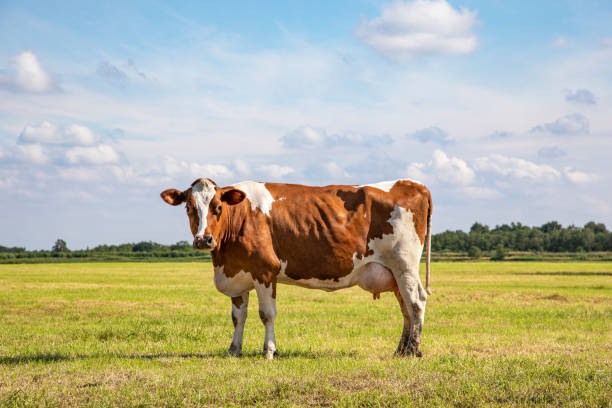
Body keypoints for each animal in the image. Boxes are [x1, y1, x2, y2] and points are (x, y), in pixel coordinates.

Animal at [160, 178, 432, 360]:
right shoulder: (238, 273)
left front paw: (269, 351)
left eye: (218, 207)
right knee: (406, 309)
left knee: (416, 302)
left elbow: (267, 314)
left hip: (404, 265)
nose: (204, 240)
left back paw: (413, 350)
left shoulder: (265, 270)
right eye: (189, 207)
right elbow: (238, 316)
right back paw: (400, 350)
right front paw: (233, 350)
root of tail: (412, 183)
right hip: (394, 274)